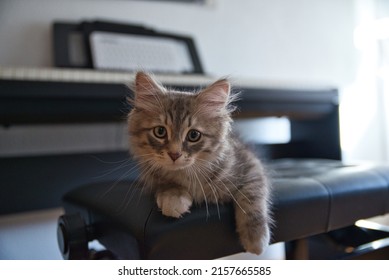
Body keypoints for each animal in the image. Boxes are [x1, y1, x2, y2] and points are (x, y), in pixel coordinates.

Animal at [127, 71, 270, 255]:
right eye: (160, 131)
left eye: (193, 135)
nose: (174, 154)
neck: (189, 174)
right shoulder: (151, 176)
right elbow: (167, 184)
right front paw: (173, 199)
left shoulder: (251, 165)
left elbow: (252, 198)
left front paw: (256, 239)